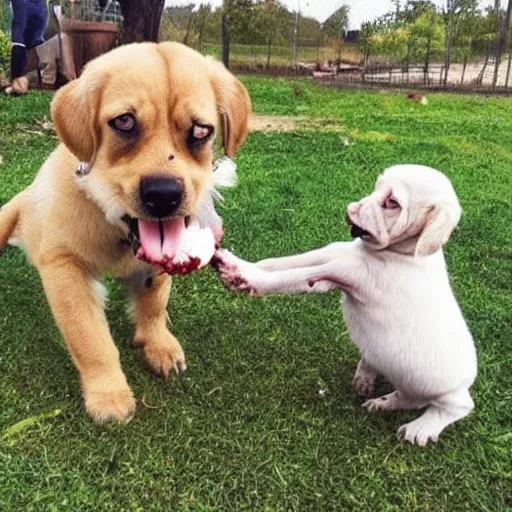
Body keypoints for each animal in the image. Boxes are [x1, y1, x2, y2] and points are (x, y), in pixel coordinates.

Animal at [0, 42, 252, 422]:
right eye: (124, 122)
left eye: (200, 131)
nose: (163, 195)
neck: (113, 227)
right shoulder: (64, 267)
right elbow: (90, 339)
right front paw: (108, 394)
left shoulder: (156, 266)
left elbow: (153, 305)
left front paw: (157, 344)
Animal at [214, 166, 478, 446]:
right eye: (376, 187)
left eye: (392, 203)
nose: (354, 207)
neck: (400, 254)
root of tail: (464, 386)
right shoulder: (333, 257)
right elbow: (282, 263)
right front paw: (238, 264)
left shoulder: (343, 271)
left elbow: (287, 277)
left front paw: (244, 277)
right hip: (409, 381)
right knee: (409, 397)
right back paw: (380, 400)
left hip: (446, 393)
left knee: (456, 407)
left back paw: (421, 427)